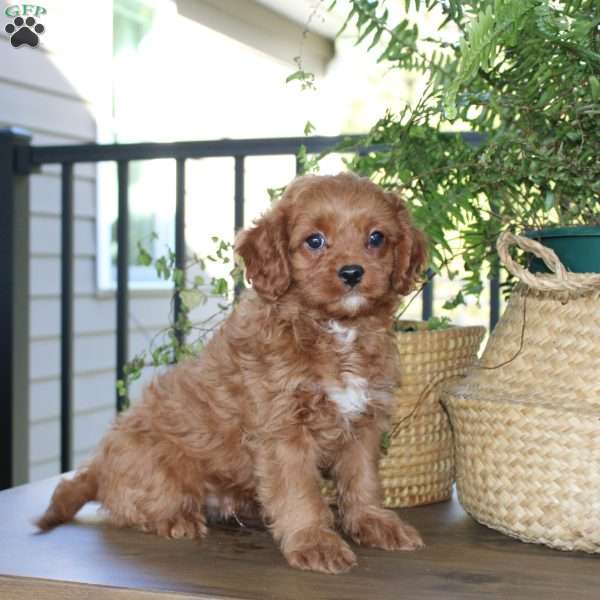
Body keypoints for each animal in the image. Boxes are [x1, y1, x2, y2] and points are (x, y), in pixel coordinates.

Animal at [36, 171, 426, 576]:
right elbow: (300, 492)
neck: (335, 331)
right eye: (314, 241)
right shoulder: (283, 431)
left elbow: (363, 480)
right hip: (157, 466)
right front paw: (314, 542)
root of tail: (98, 467)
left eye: (376, 238)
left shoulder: (364, 425)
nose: (352, 272)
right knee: (134, 506)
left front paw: (374, 523)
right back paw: (177, 519)